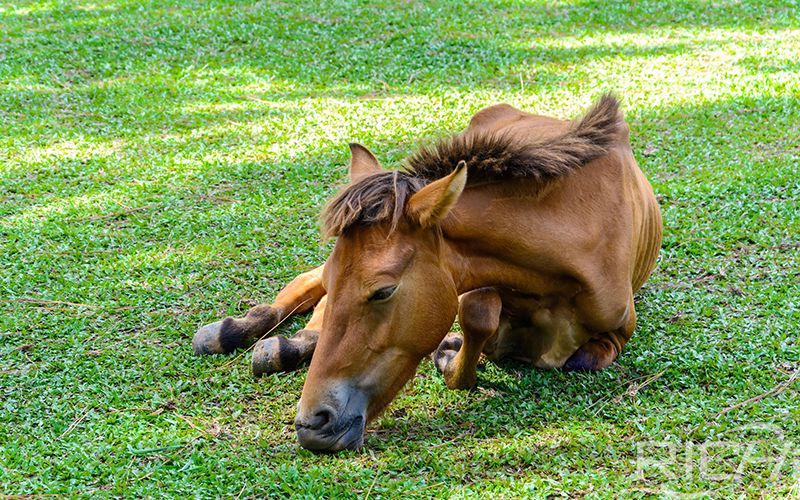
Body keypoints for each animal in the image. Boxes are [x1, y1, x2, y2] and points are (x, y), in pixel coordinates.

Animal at [192, 94, 664, 454]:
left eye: (383, 291)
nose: (313, 423)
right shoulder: (465, 283)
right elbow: (479, 314)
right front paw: (453, 351)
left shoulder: (617, 326)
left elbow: (577, 358)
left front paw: (453, 350)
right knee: (308, 285)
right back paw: (244, 331)